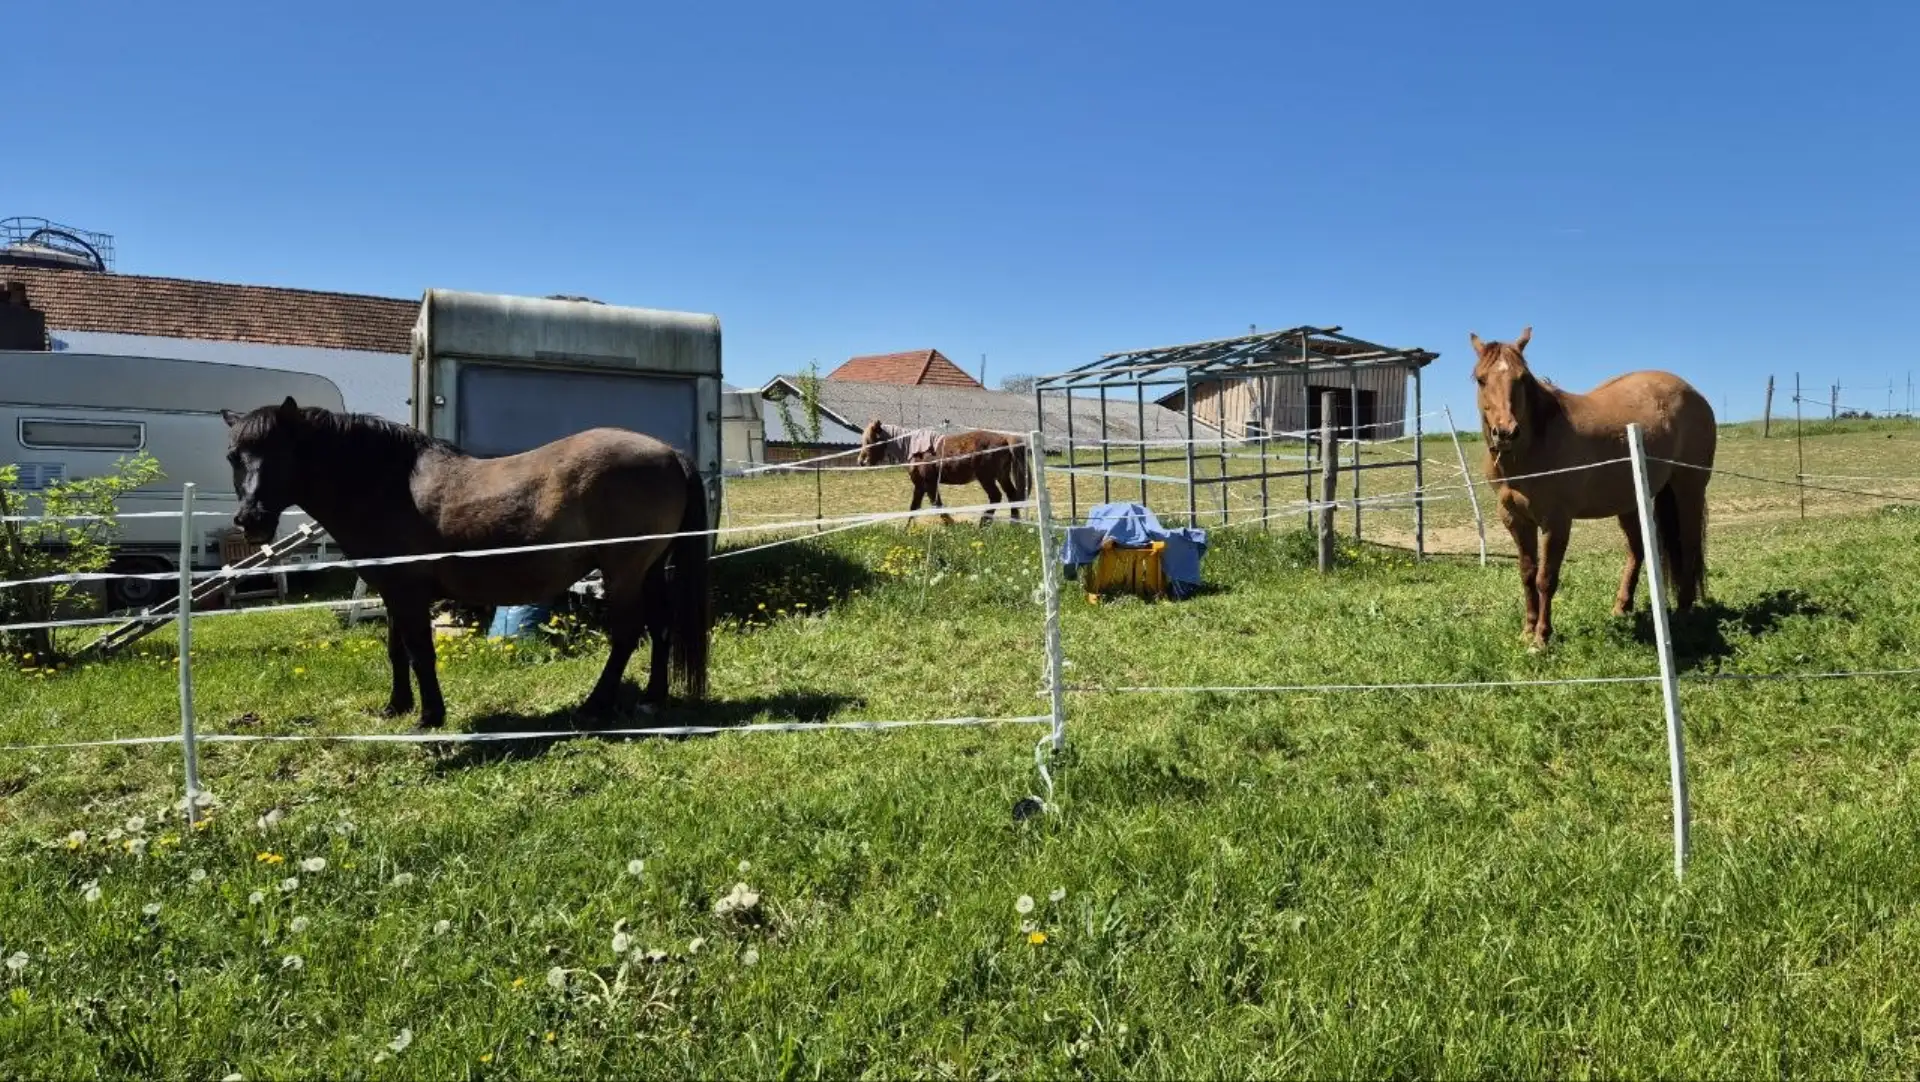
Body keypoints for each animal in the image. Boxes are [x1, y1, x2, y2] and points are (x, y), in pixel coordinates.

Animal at [221, 397, 711, 730]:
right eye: (233, 457)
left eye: (286, 452)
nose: (251, 520)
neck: (388, 485)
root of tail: (669, 453)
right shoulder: (393, 591)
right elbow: (396, 650)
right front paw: (396, 707)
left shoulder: (409, 593)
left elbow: (420, 652)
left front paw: (429, 716)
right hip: (649, 570)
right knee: (661, 627)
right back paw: (652, 698)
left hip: (623, 572)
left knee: (628, 633)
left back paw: (596, 704)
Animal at [855, 420, 1031, 525]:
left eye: (870, 441)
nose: (861, 462)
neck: (915, 449)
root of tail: (1005, 439)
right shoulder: (920, 486)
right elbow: (913, 508)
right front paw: (907, 530)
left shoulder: (929, 484)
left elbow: (937, 505)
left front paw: (952, 525)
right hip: (1002, 476)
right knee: (1012, 495)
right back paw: (1013, 524)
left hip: (986, 478)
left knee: (996, 497)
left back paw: (983, 526)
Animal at [1470, 327, 1716, 650]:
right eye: (1480, 379)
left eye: (1522, 378)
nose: (1506, 432)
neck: (1535, 446)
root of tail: (1695, 394)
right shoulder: (1515, 519)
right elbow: (1527, 574)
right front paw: (1527, 630)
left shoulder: (1556, 522)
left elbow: (1546, 578)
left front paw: (1541, 639)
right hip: (1630, 502)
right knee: (1637, 549)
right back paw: (1621, 608)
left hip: (1688, 490)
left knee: (1688, 546)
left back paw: (1684, 611)